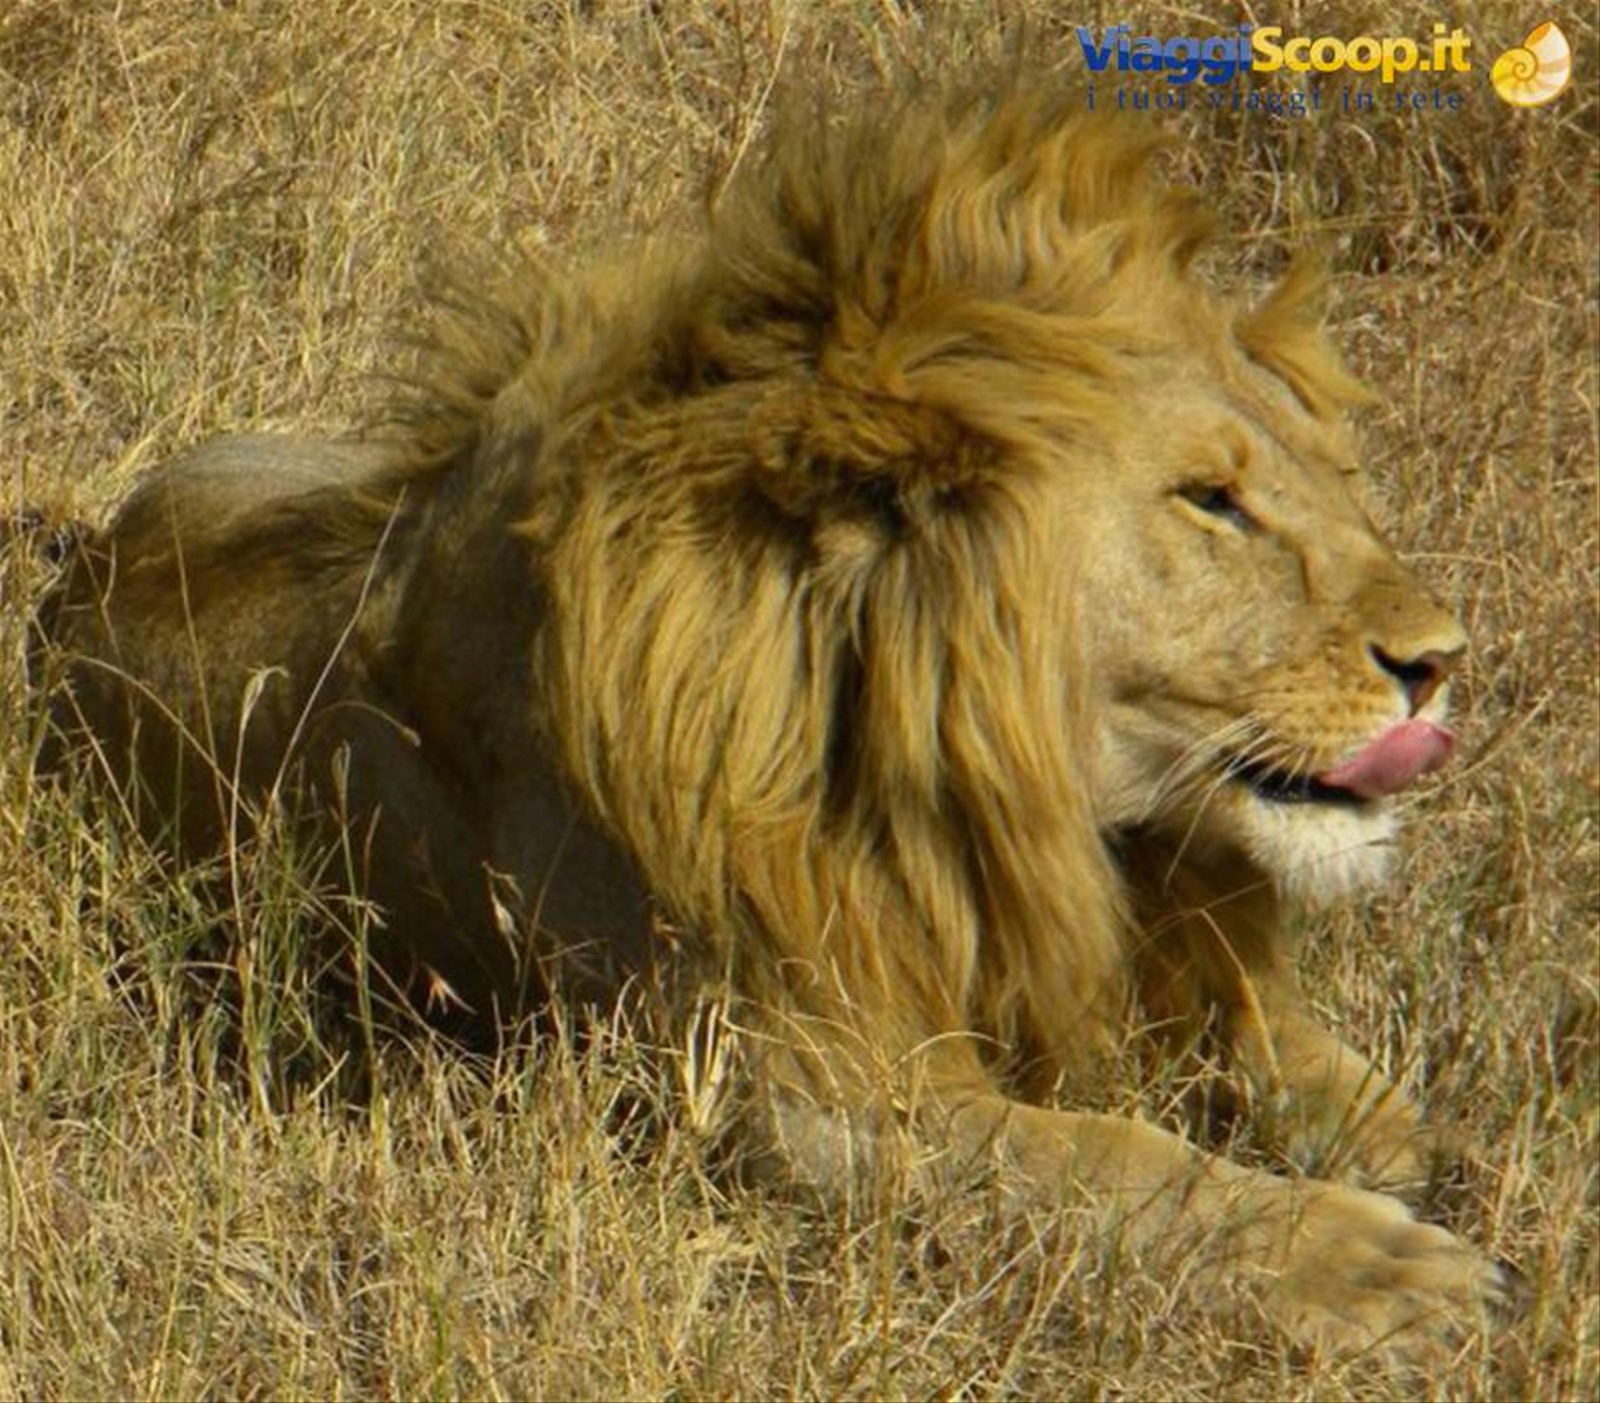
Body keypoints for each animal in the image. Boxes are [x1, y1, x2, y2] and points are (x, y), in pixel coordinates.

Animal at [38, 85, 1503, 1356]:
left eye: (1328, 472)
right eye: (1211, 498)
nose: (1440, 662)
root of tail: (80, 560)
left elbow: (1299, 1055)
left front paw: (1452, 1160)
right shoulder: (788, 1089)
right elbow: (1110, 1162)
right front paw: (1380, 1266)